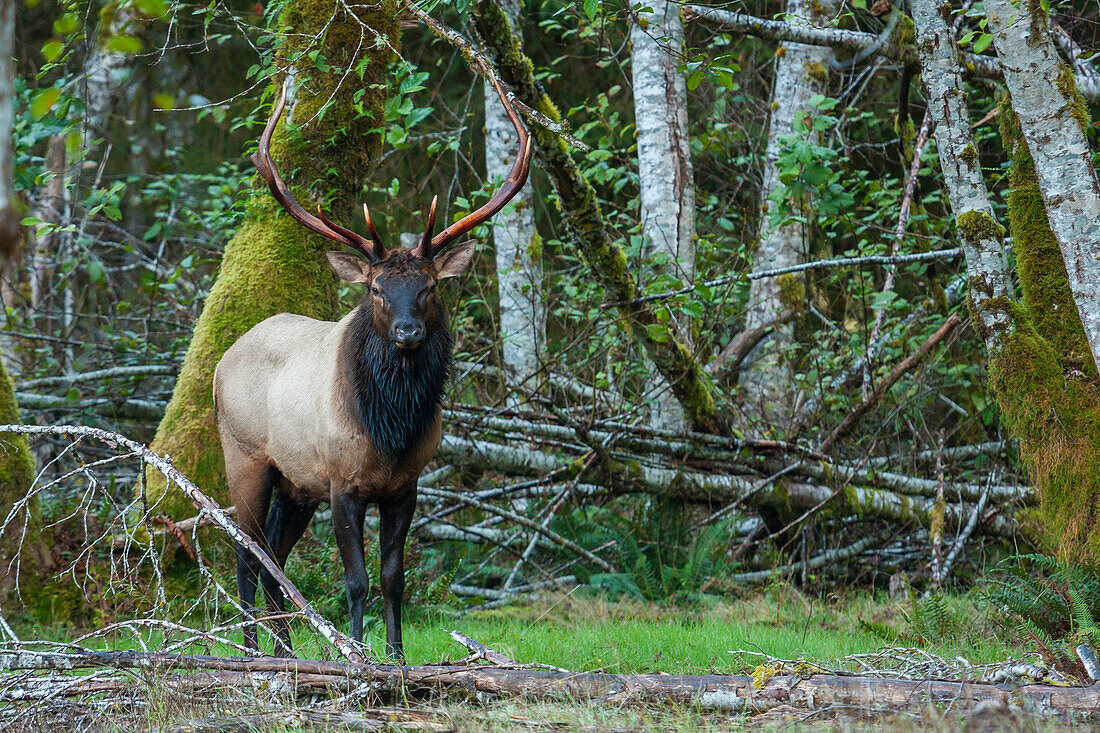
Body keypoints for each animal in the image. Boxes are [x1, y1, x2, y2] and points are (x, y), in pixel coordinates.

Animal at [213, 75, 532, 655]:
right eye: (377, 289)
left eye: (429, 287)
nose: (407, 332)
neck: (390, 429)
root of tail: (223, 360)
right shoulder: (343, 482)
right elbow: (355, 580)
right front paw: (356, 654)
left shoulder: (406, 486)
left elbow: (392, 578)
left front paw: (397, 656)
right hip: (244, 456)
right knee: (247, 552)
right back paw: (252, 650)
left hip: (296, 484)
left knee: (275, 558)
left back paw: (285, 649)